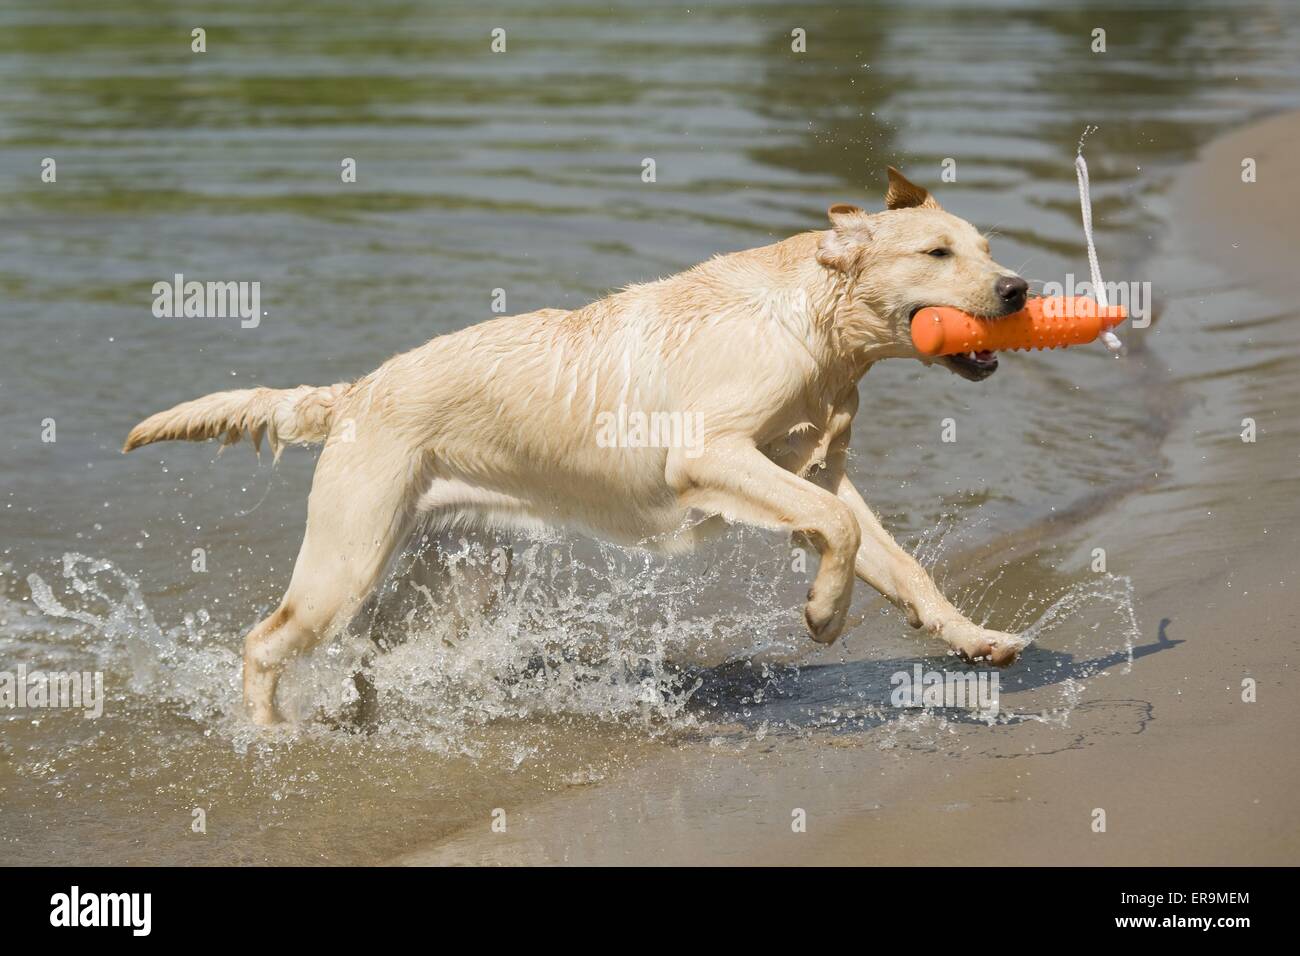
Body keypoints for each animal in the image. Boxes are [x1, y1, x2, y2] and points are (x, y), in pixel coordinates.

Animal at [126, 167, 1029, 723]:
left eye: (987, 249)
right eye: (937, 252)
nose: (1020, 288)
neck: (812, 321)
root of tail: (355, 391)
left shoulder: (816, 474)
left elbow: (894, 559)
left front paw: (973, 637)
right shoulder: (707, 457)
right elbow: (836, 533)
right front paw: (823, 615)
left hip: (451, 571)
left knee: (374, 651)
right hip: (345, 562)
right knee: (263, 642)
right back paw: (269, 733)